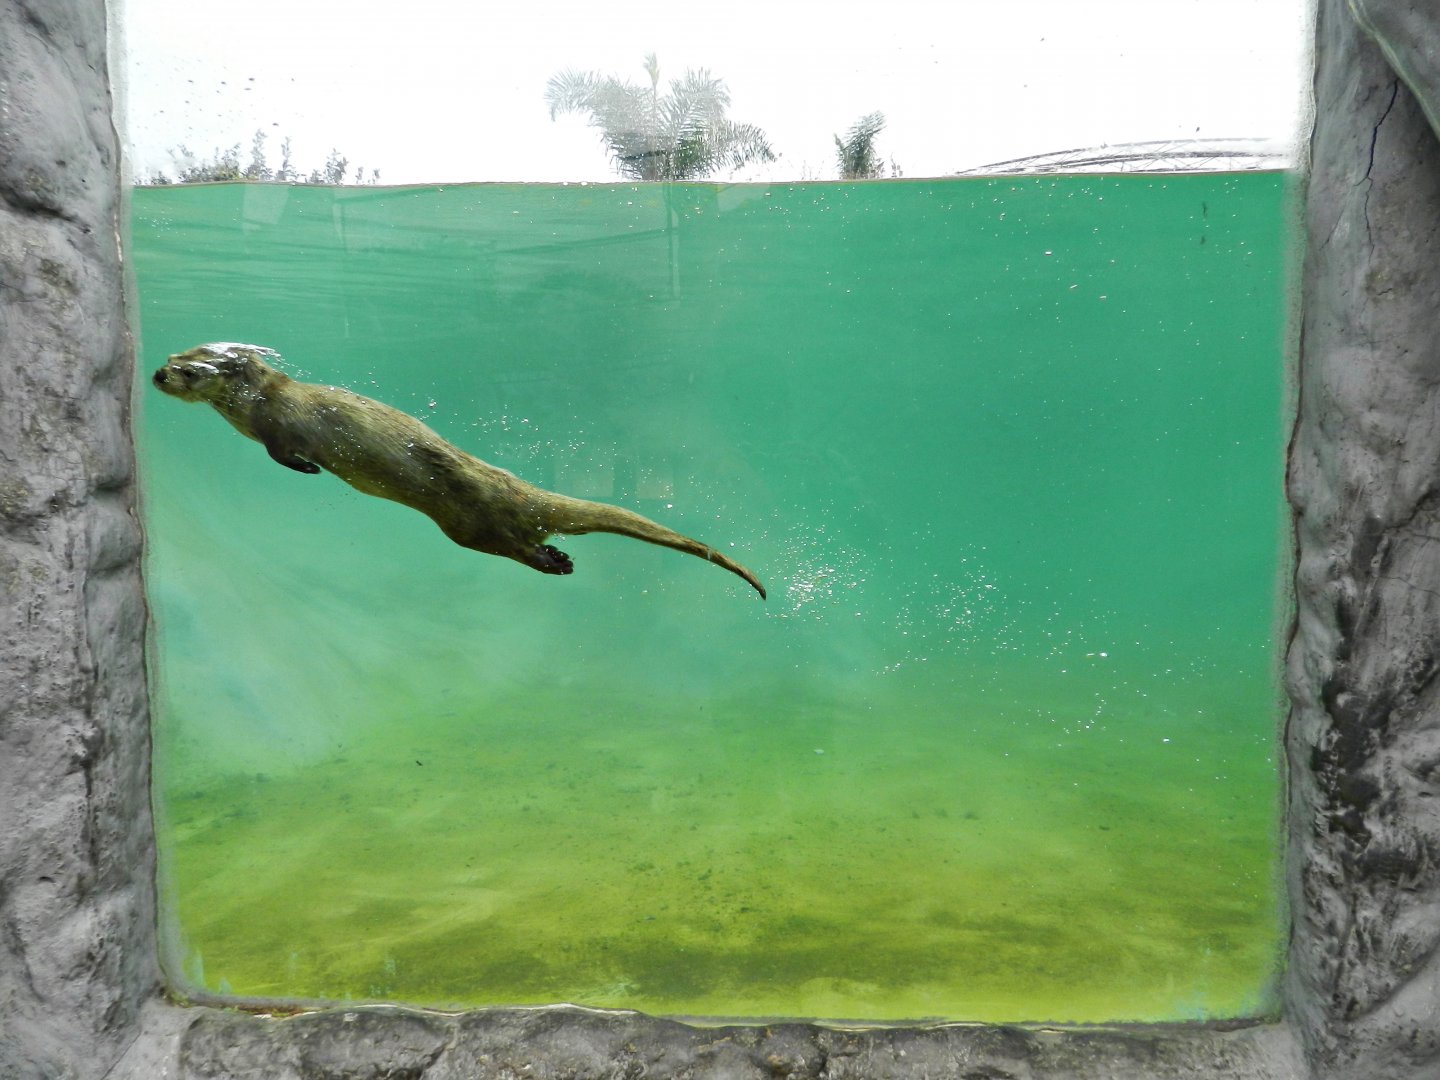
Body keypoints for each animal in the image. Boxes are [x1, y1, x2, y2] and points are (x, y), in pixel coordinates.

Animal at [152, 343, 765, 599]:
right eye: (172, 359)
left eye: (190, 370)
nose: (158, 374)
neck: (253, 407)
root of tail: (517, 490)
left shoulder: (280, 424)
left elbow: (284, 452)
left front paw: (306, 468)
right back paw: (559, 558)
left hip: (467, 523)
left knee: (513, 545)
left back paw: (557, 563)